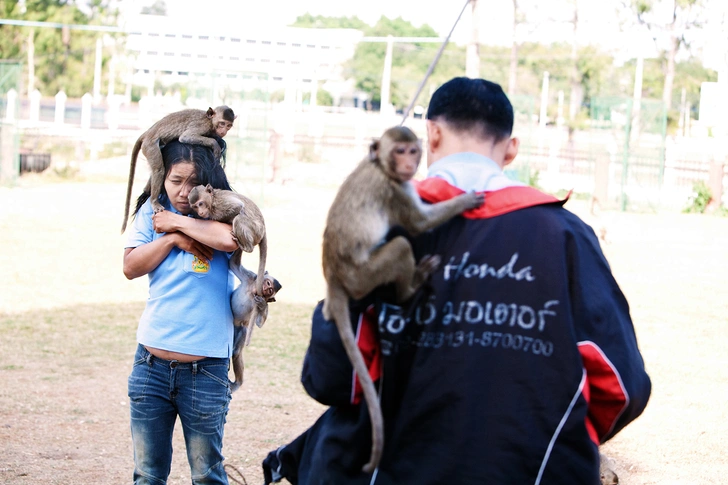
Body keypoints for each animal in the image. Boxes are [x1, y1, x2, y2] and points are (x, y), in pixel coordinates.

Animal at [121, 105, 236, 233]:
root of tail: (148, 132)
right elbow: (186, 137)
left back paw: (147, 190)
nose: (223, 131)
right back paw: (154, 201)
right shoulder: (202, 125)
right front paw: (214, 144)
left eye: (228, 125)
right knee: (159, 170)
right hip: (149, 145)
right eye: (222, 123)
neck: (210, 120)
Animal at [322, 125, 484, 472]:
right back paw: (411, 287)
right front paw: (465, 199)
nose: (410, 163)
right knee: (399, 246)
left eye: (412, 150)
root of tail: (335, 276)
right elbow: (419, 224)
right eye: (400, 151)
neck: (384, 169)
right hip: (364, 275)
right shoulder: (395, 191)